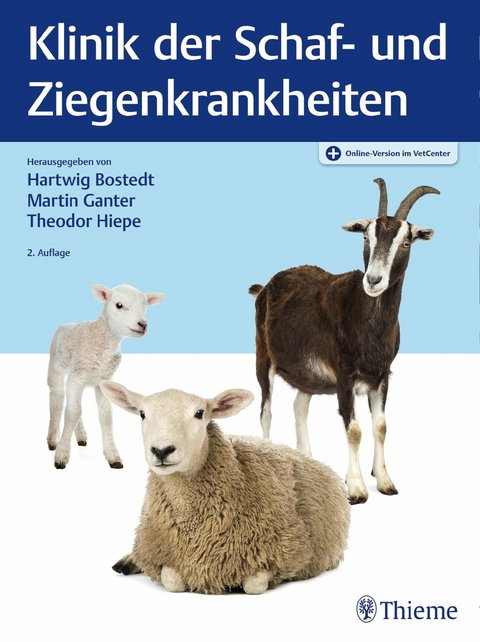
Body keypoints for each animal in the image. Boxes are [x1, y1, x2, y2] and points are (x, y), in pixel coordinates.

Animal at [47, 284, 165, 469]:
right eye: (119, 305)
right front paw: (61, 455)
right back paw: (52, 440)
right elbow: (72, 413)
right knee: (57, 399)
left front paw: (113, 456)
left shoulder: (104, 379)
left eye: (145, 306)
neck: (101, 339)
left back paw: (81, 436)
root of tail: (66, 324)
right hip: (56, 365)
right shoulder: (76, 377)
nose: (143, 324)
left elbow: (105, 416)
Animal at [100, 381, 350, 595]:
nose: (161, 450)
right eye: (142, 414)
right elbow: (172, 580)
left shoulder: (288, 553)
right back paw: (127, 561)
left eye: (199, 413)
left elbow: (254, 585)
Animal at [249, 178, 439, 504]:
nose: (373, 280)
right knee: (266, 411)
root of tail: (265, 287)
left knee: (300, 406)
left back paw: (308, 462)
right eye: (366, 237)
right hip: (264, 357)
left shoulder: (382, 375)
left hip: (308, 375)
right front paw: (357, 489)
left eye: (406, 242)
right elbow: (354, 430)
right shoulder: (344, 375)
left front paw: (385, 481)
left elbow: (380, 426)